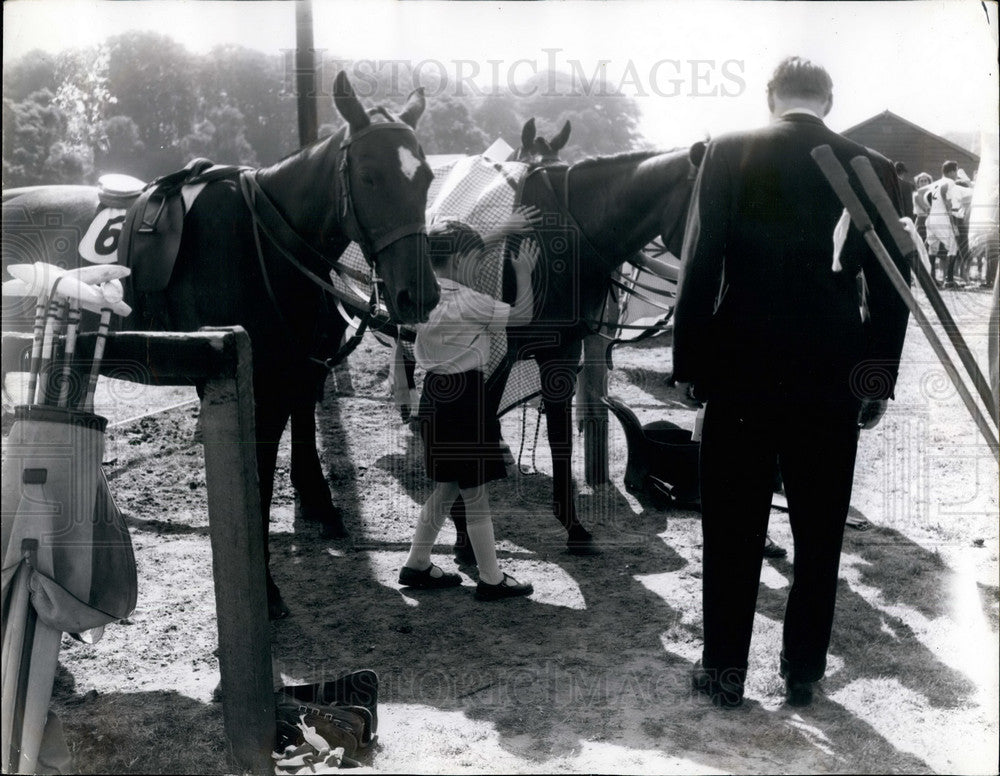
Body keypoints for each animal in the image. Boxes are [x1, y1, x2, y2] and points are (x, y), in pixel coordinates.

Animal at [0, 73, 438, 620]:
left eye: (426, 178)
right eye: (370, 176)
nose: (419, 294)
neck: (264, 241)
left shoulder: (298, 371)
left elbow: (303, 435)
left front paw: (319, 507)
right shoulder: (256, 386)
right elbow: (258, 485)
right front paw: (265, 589)